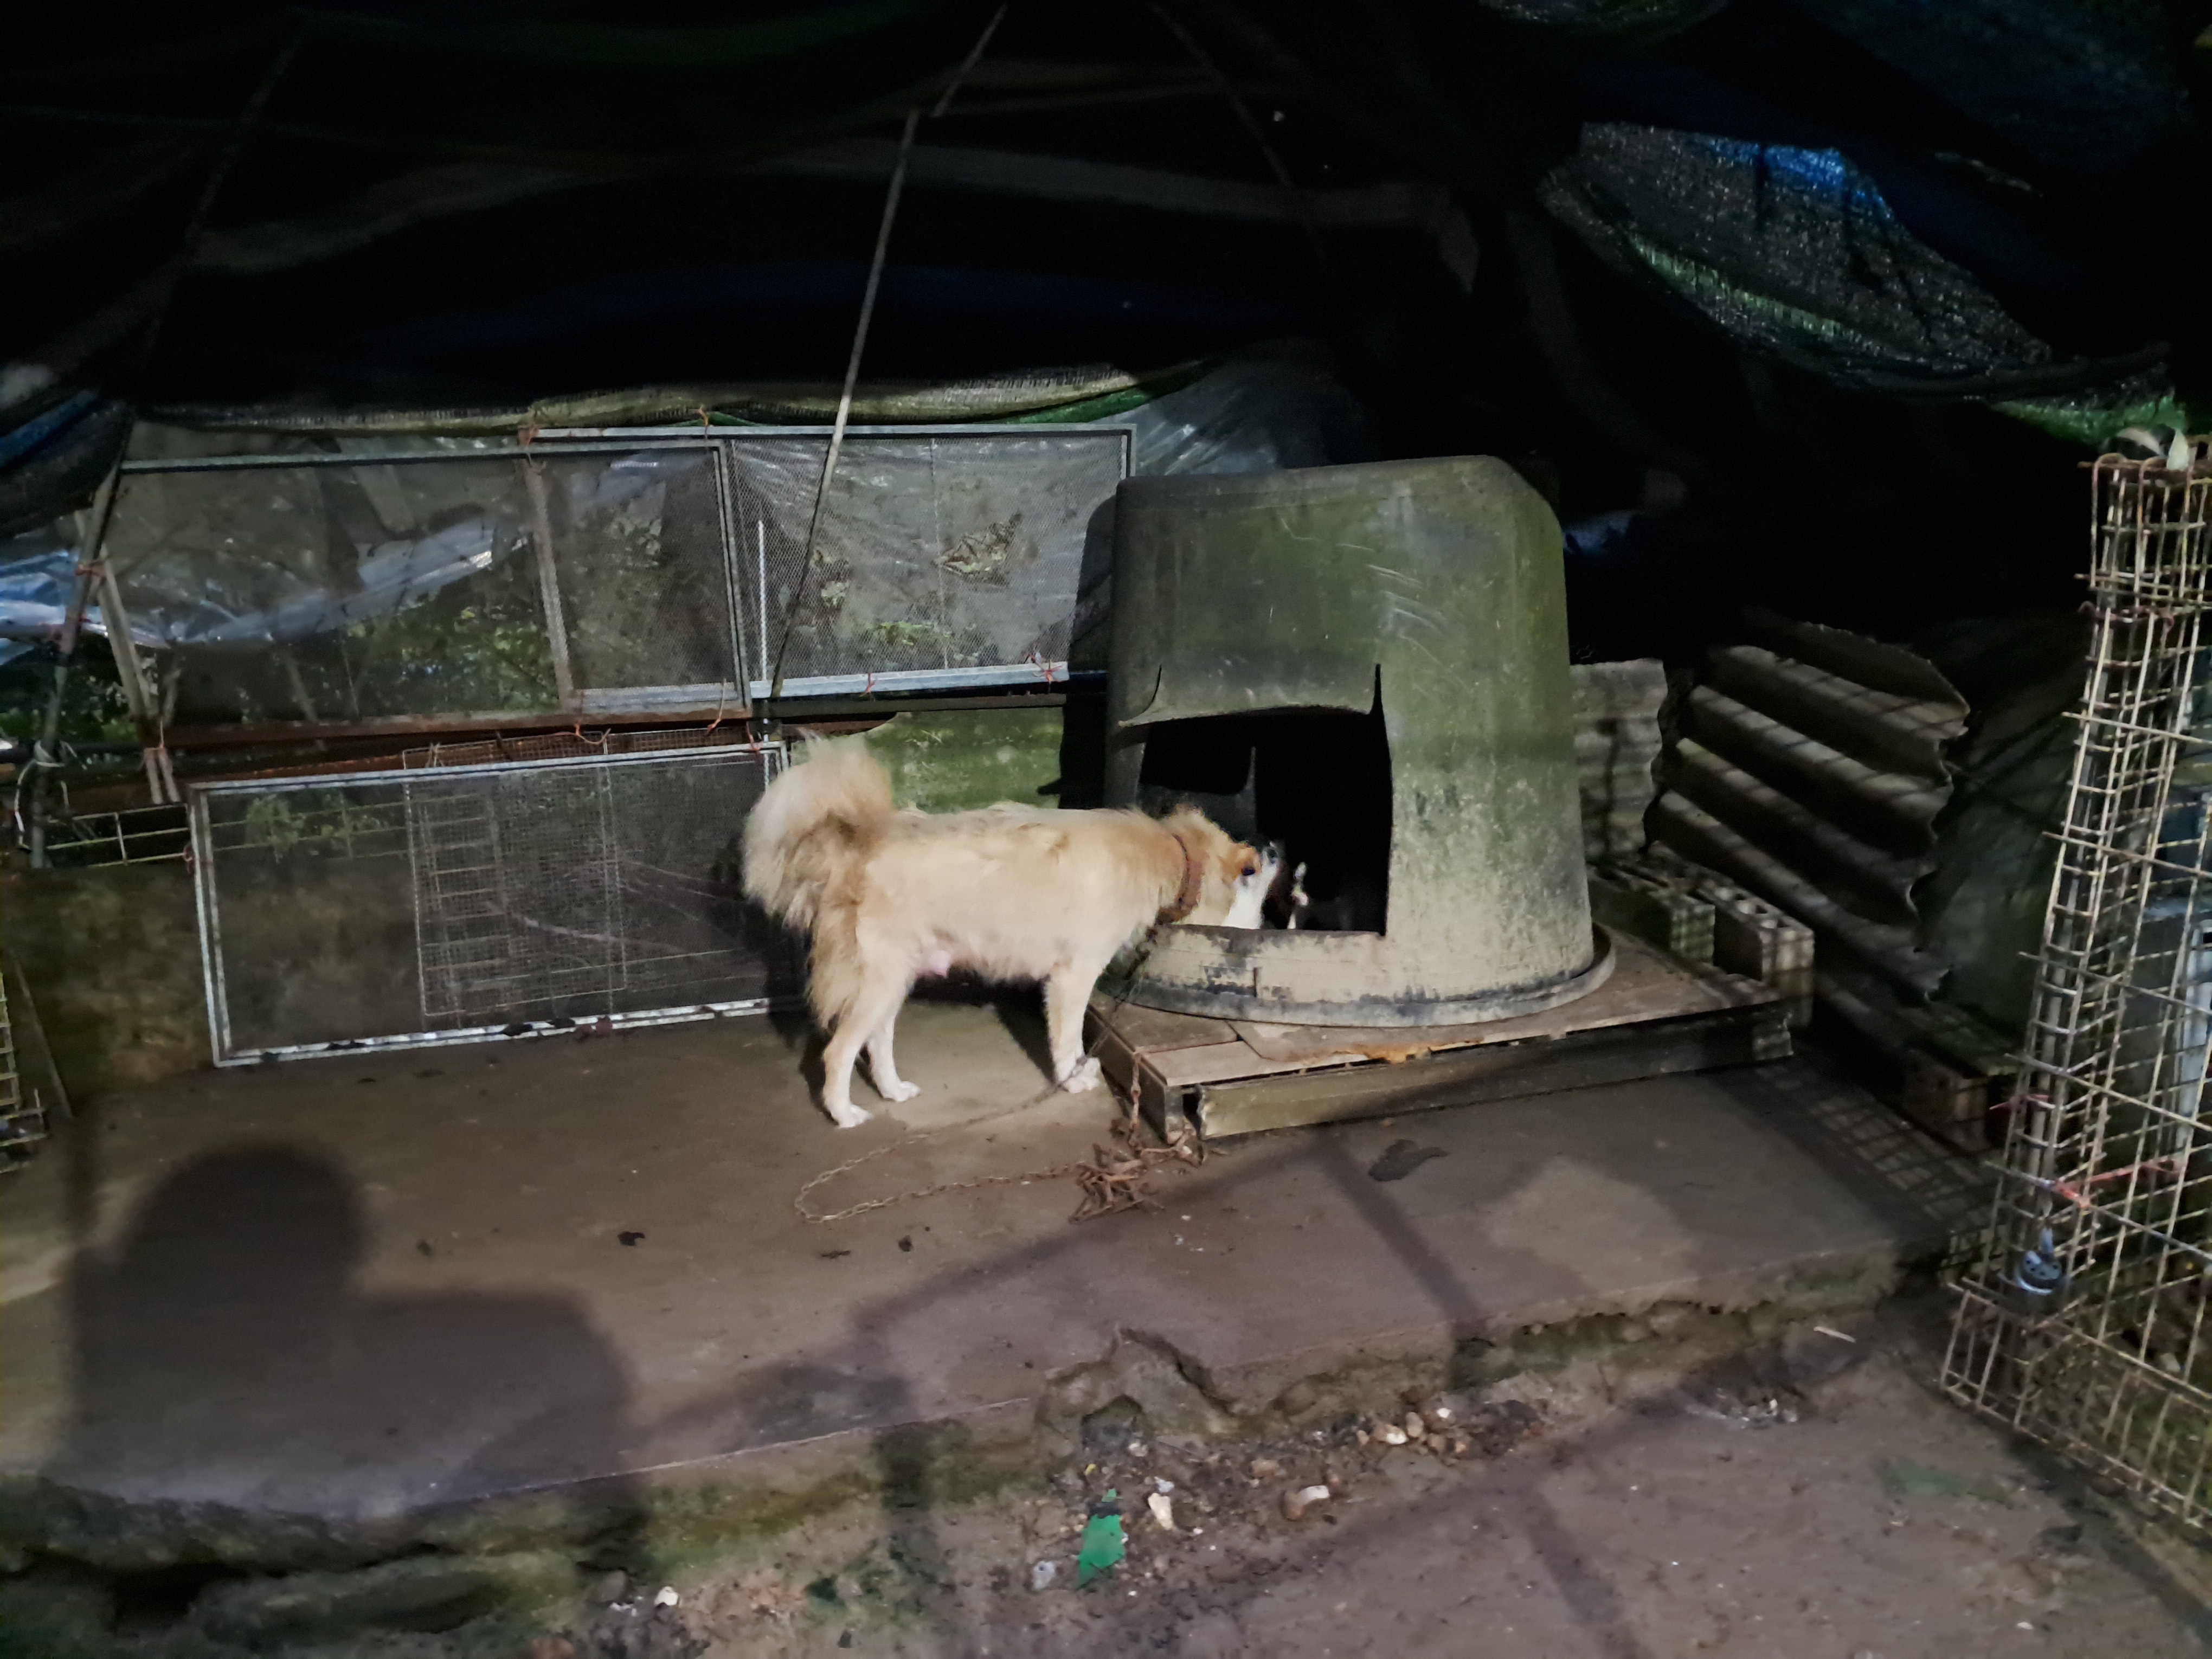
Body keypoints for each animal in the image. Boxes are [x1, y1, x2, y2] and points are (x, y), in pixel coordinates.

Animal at [744, 737, 1277, 1127]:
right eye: (1251, 869)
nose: (1274, 845)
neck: (1168, 853)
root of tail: (860, 843)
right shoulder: (1071, 978)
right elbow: (1068, 1041)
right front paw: (1072, 1080)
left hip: (893, 983)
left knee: (876, 1044)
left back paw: (892, 1090)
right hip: (877, 983)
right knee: (837, 1052)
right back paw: (843, 1114)